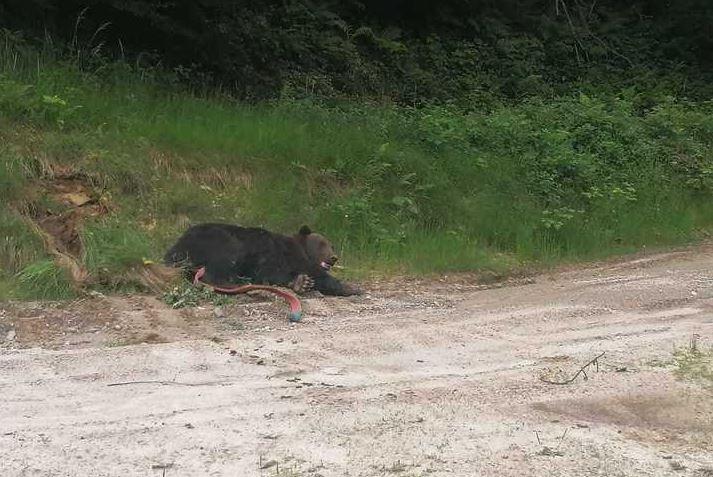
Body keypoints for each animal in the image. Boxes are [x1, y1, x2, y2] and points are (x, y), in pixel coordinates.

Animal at [163, 222, 362, 294]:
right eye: (322, 243)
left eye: (332, 245)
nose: (334, 257)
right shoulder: (286, 254)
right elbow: (314, 272)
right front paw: (351, 288)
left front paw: (300, 282)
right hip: (218, 239)